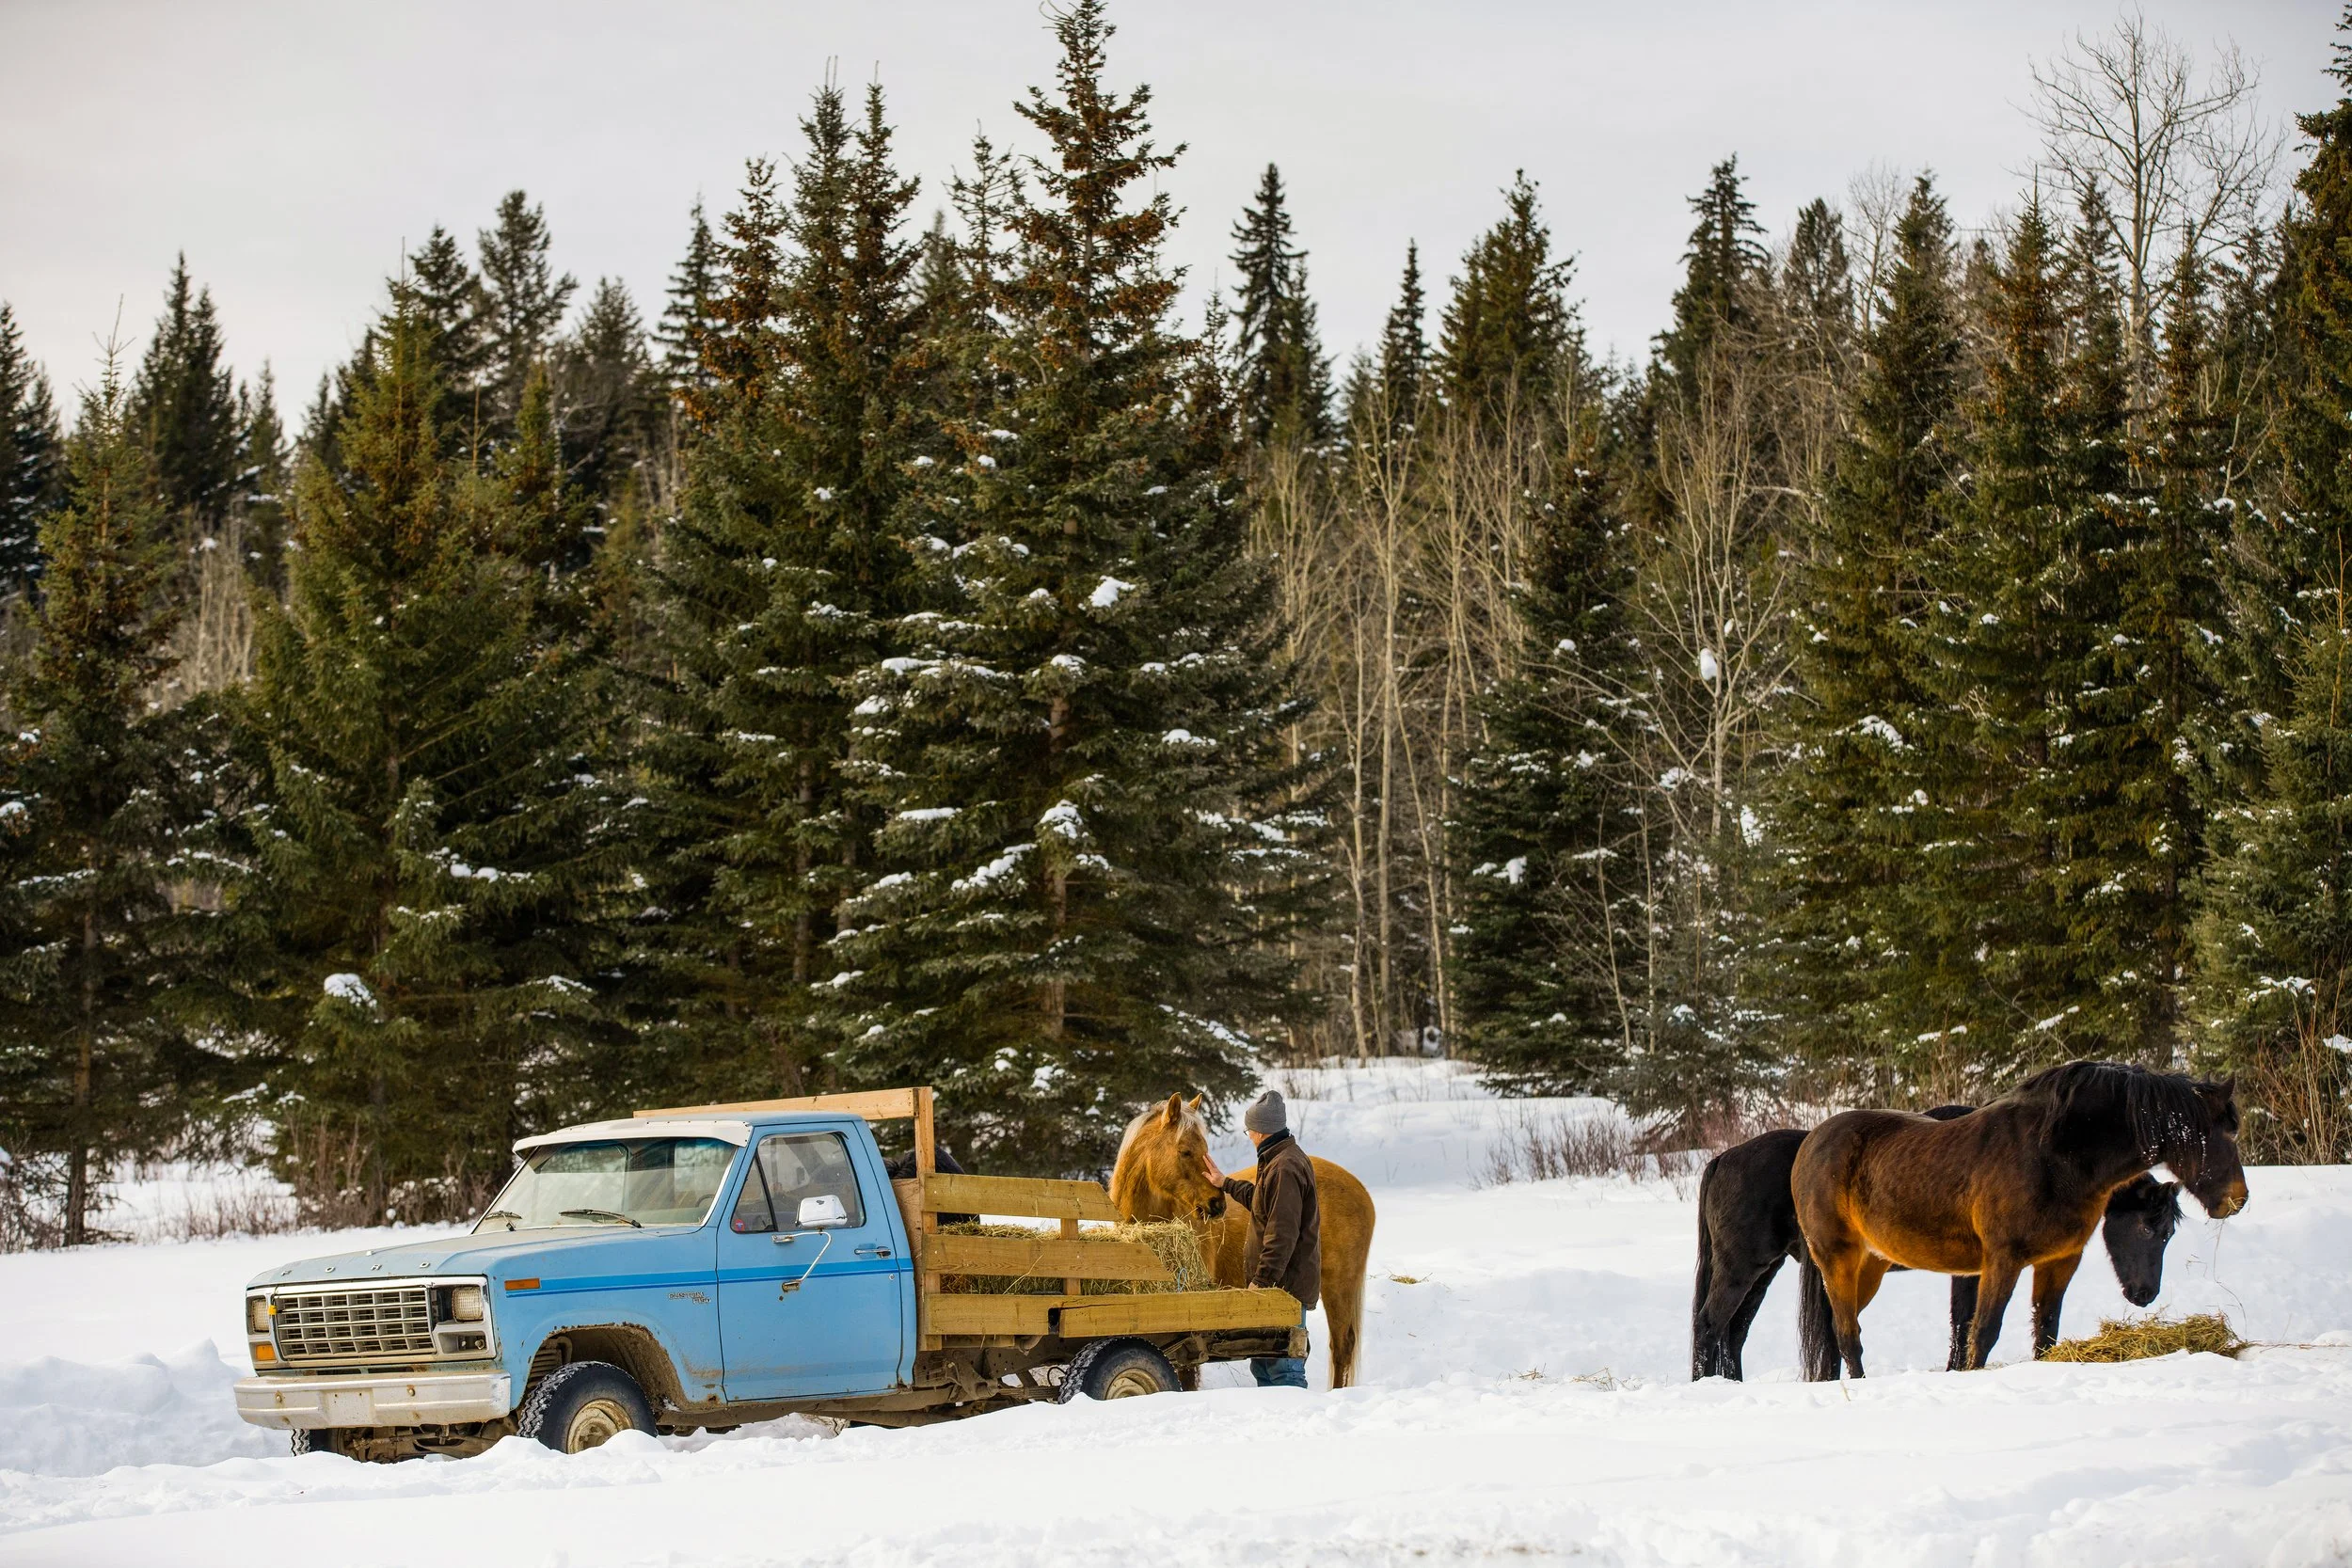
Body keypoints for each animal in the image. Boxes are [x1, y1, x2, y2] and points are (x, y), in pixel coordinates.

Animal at [1689, 1106, 2183, 1380]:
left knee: (1733, 1333)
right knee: (1709, 1325)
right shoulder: (1978, 1268)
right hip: (1742, 1267)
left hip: (1763, 1271)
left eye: (2169, 1234)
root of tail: (1723, 1158)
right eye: (2147, 1228)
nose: (2145, 1295)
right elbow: (1965, 1322)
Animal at [1791, 1061, 2245, 1379]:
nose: (2237, 1200)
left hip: (1870, 1264)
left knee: (1837, 1329)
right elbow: (1982, 1332)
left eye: (2168, 1234)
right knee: (1847, 1335)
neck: (2056, 1155)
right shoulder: (2001, 1260)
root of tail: (1811, 1143)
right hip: (1838, 1258)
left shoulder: (2059, 1261)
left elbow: (2045, 1331)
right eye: (2149, 1228)